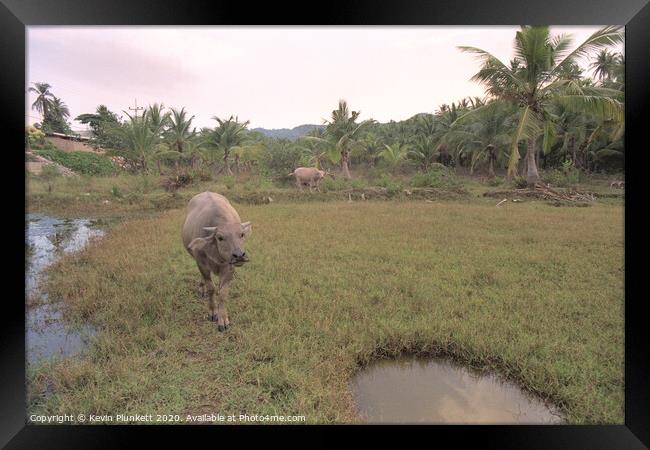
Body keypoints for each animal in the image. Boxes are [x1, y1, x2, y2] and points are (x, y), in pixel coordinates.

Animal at [184, 190, 254, 330]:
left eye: (242, 234)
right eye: (220, 237)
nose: (239, 255)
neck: (216, 254)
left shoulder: (229, 268)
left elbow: (223, 293)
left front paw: (223, 319)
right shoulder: (201, 263)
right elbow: (211, 288)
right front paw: (212, 312)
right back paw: (202, 289)